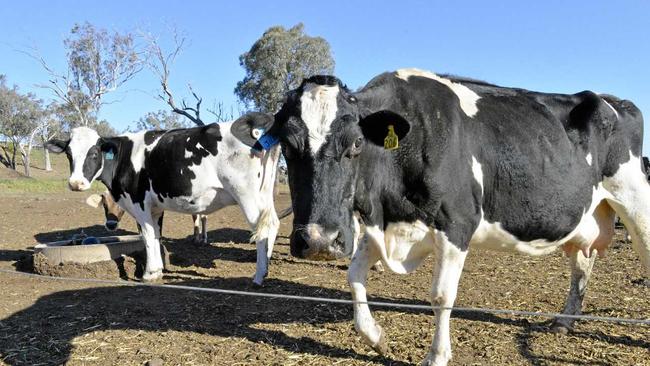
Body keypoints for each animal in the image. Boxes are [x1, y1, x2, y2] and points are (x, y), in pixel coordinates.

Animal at [45, 113, 278, 284]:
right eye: (68, 154)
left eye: (94, 153)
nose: (76, 183)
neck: (123, 157)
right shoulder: (156, 207)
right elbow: (156, 236)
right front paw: (157, 270)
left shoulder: (139, 202)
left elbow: (147, 236)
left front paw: (149, 273)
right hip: (264, 194)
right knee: (272, 224)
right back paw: (266, 266)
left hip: (246, 195)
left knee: (260, 229)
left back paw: (258, 276)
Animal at [272, 69, 648, 366]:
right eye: (287, 146)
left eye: (355, 144)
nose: (318, 241)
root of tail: (614, 100)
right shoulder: (387, 224)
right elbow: (354, 275)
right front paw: (377, 337)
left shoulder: (457, 223)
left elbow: (441, 295)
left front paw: (436, 356)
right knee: (582, 264)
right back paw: (564, 321)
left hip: (635, 202)